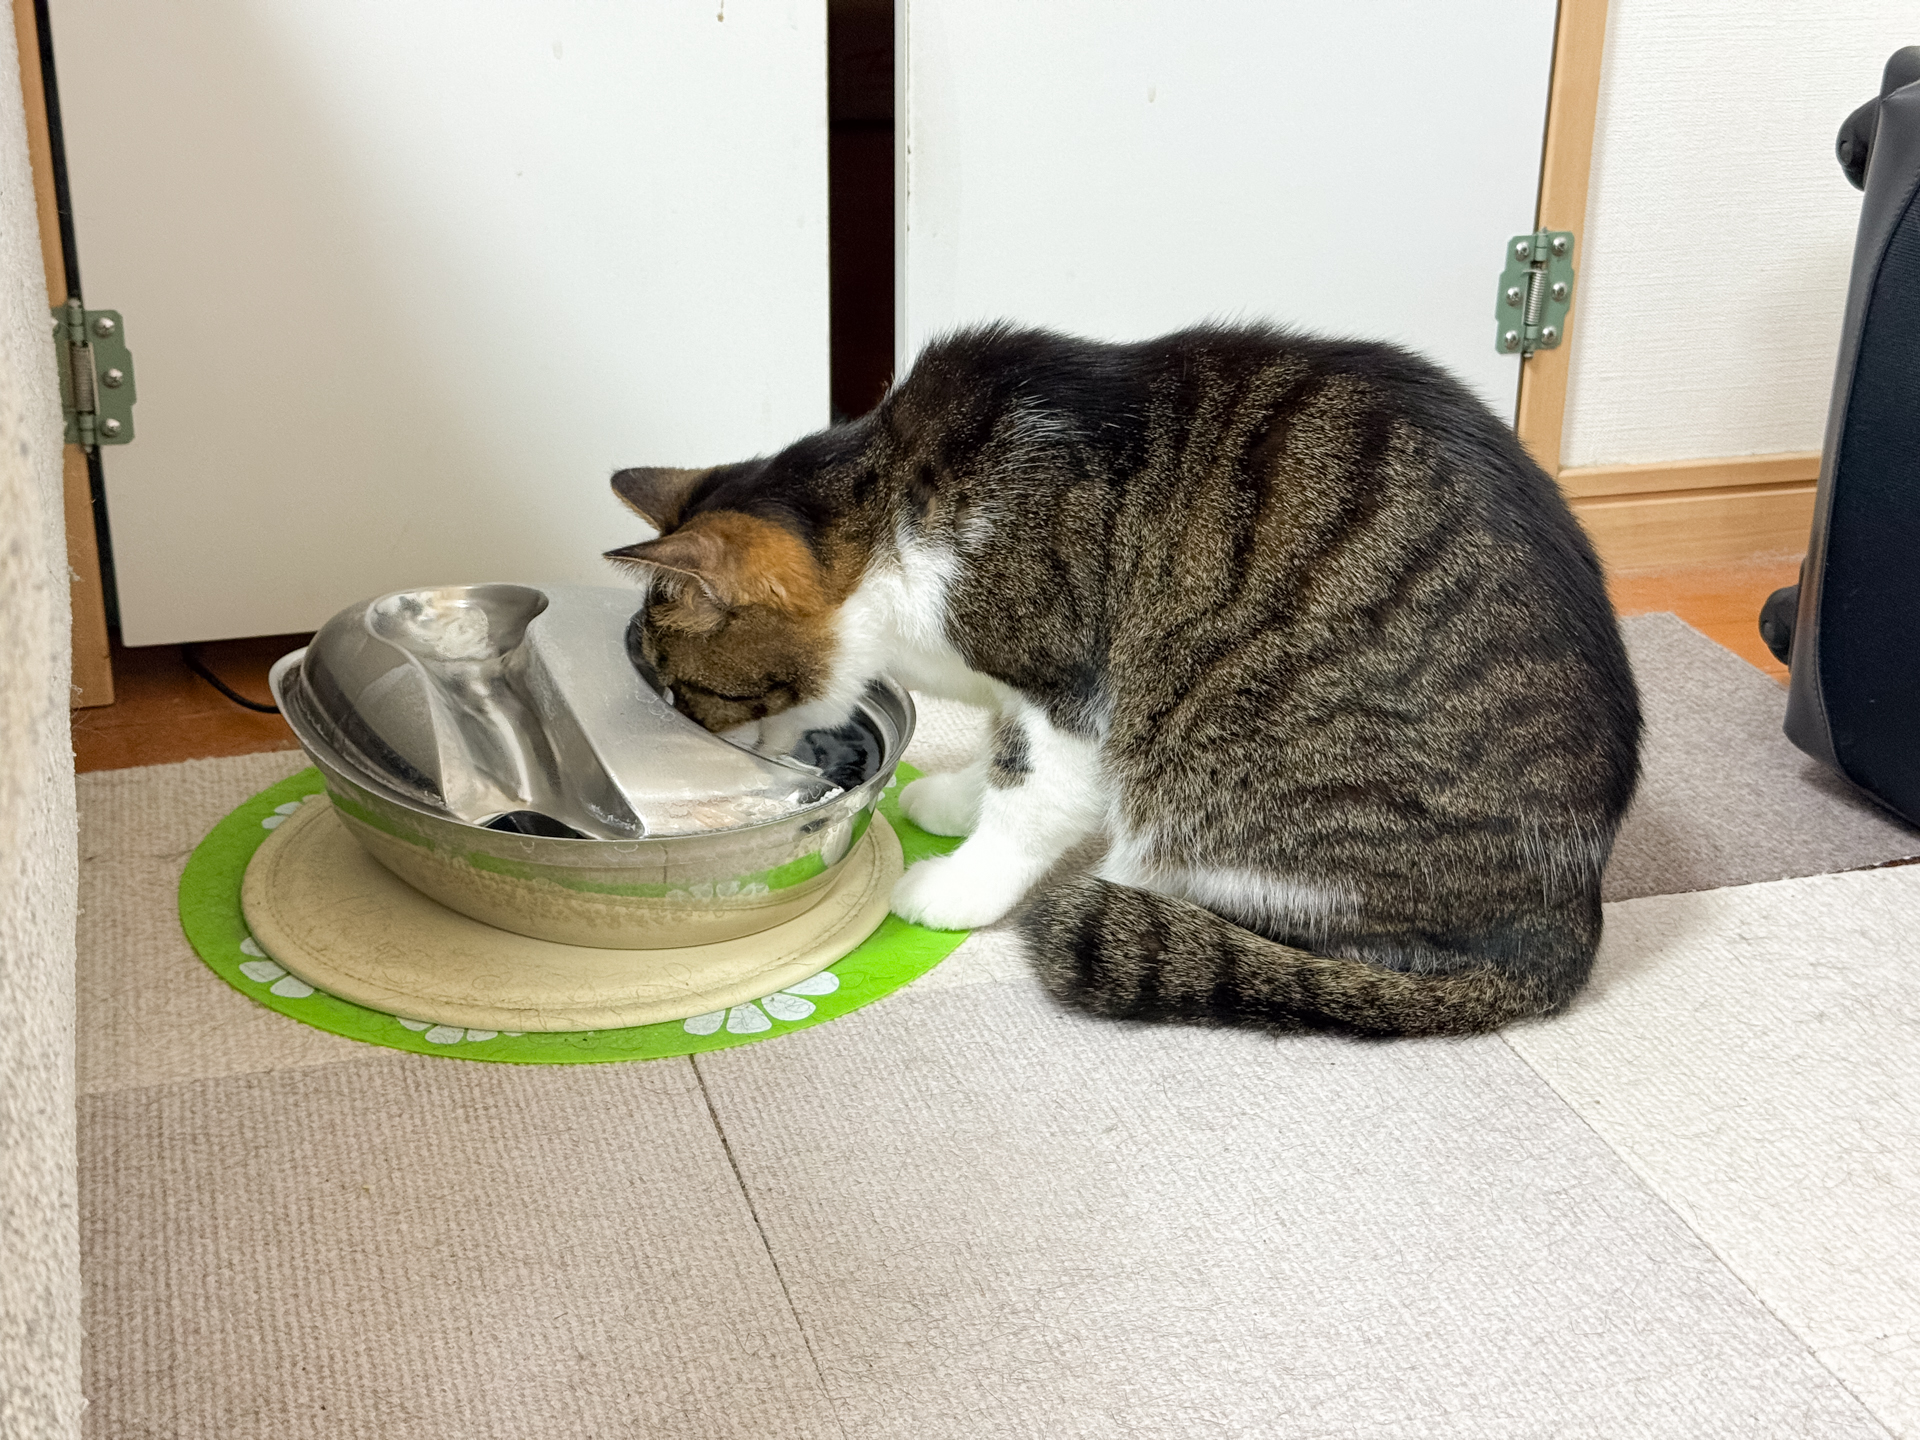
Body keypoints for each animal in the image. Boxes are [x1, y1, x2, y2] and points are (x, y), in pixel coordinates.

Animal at [604, 322, 1642, 1037]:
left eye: (689, 696)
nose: (698, 755)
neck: (891, 515)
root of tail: (1565, 924)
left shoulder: (1069, 687)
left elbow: (1032, 796)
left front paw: (958, 883)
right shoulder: (1020, 692)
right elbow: (998, 757)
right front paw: (953, 797)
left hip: (1218, 774)